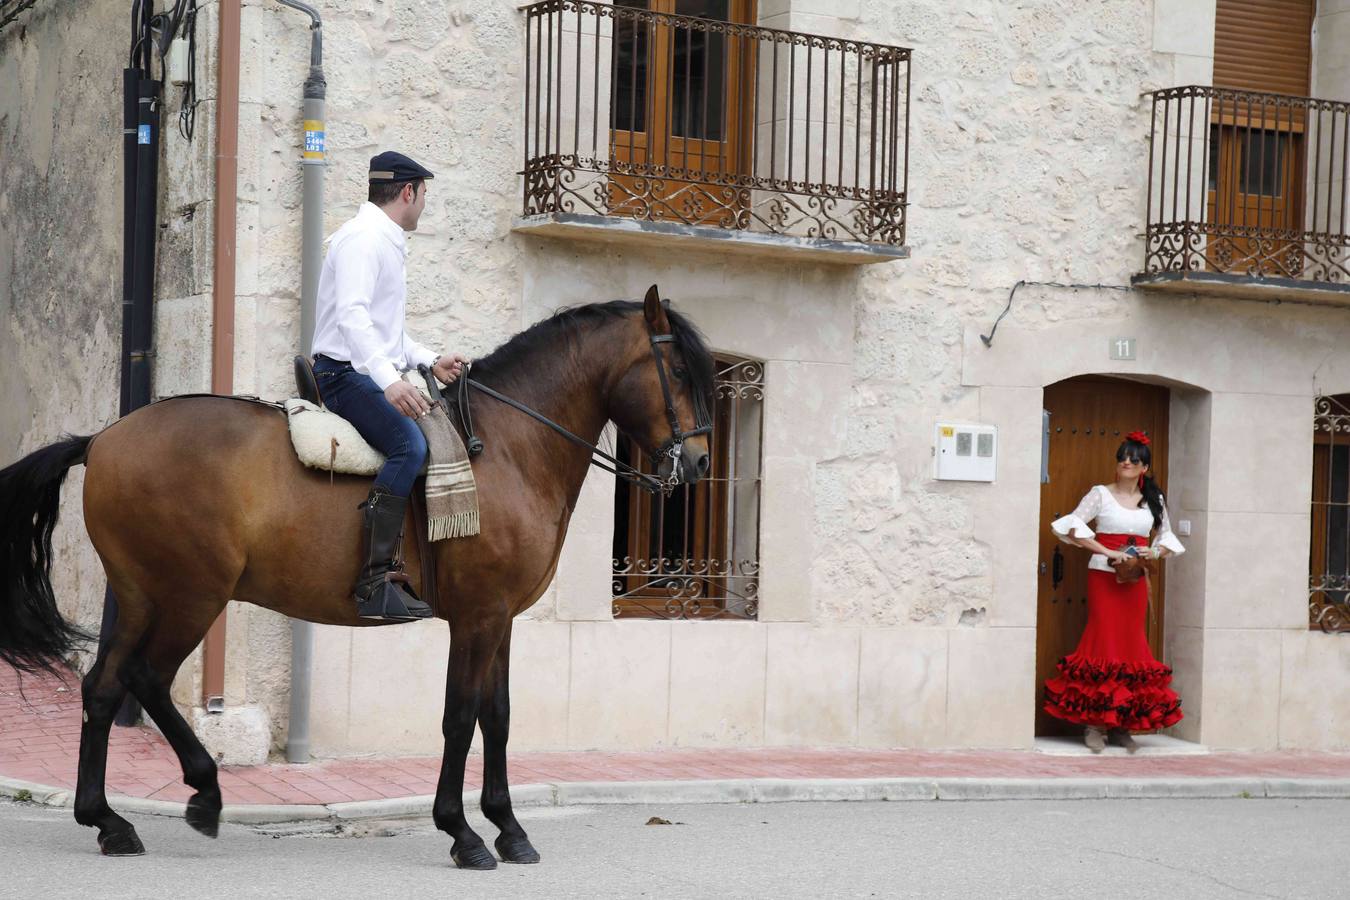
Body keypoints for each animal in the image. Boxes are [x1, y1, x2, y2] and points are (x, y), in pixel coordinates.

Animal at [0, 288, 718, 863]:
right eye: (679, 369)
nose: (701, 463)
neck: (510, 446)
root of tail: (102, 439)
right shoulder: (477, 616)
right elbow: (460, 717)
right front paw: (463, 833)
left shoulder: (500, 619)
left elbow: (498, 717)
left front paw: (510, 829)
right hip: (190, 594)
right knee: (146, 677)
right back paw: (203, 790)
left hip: (139, 594)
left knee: (102, 687)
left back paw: (107, 820)